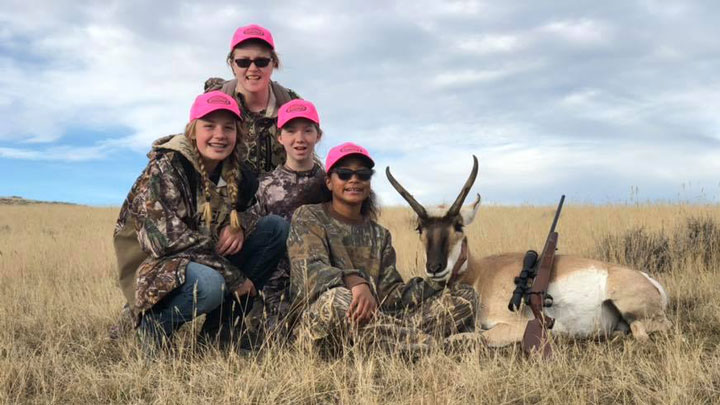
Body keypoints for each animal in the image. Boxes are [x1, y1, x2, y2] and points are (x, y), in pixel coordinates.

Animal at [386, 156, 672, 346]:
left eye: (458, 225)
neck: (481, 274)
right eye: (420, 227)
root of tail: (649, 280)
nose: (435, 267)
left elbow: (469, 336)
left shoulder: (512, 327)